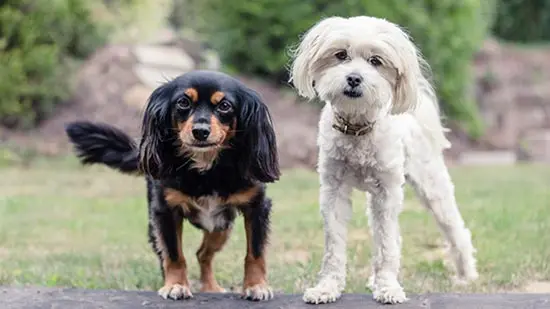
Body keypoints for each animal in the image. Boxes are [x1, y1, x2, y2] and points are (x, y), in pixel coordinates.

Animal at [64, 70, 280, 300]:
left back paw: (210, 287)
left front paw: (256, 286)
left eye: (224, 106)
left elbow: (255, 253)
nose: (200, 131)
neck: (206, 168)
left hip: (220, 226)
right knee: (173, 255)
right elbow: (174, 254)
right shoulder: (165, 211)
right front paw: (176, 285)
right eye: (183, 103)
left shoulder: (257, 208)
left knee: (203, 254)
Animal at [294, 16, 478, 304]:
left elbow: (386, 244)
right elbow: (334, 245)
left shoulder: (386, 192)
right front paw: (327, 287)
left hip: (433, 187)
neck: (358, 128)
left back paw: (466, 274)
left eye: (375, 61)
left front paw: (388, 287)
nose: (354, 78)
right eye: (340, 55)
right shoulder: (334, 190)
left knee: (454, 228)